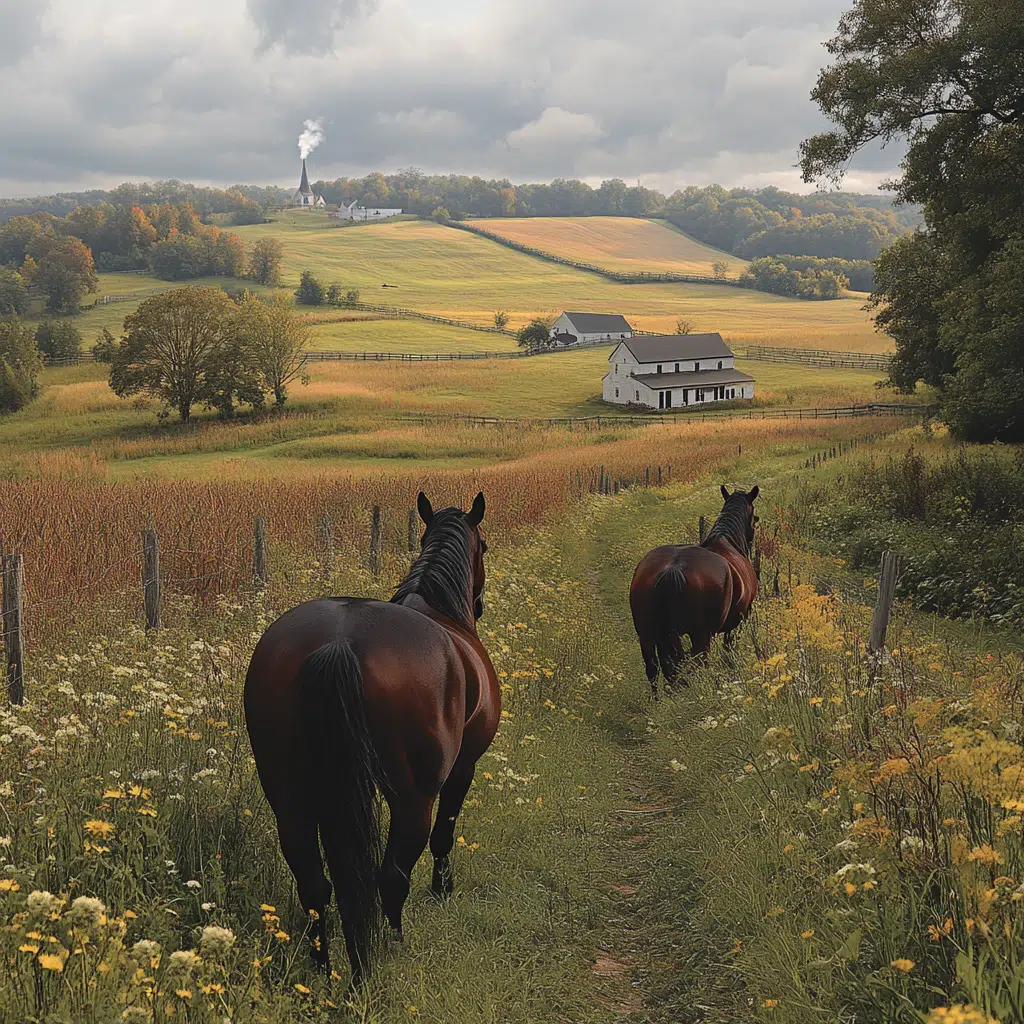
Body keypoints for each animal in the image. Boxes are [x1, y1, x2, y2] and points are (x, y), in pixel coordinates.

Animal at [239, 491, 495, 987]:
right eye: (485, 546)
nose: (479, 603)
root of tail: (339, 643)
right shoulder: (464, 768)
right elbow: (445, 834)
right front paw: (443, 888)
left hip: (289, 796)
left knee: (314, 883)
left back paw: (323, 967)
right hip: (413, 798)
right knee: (391, 875)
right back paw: (387, 949)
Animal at [622, 481, 761, 692]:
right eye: (754, 516)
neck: (727, 542)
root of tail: (674, 567)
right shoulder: (738, 622)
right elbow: (729, 653)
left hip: (646, 635)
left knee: (654, 670)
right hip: (701, 637)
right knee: (697, 664)